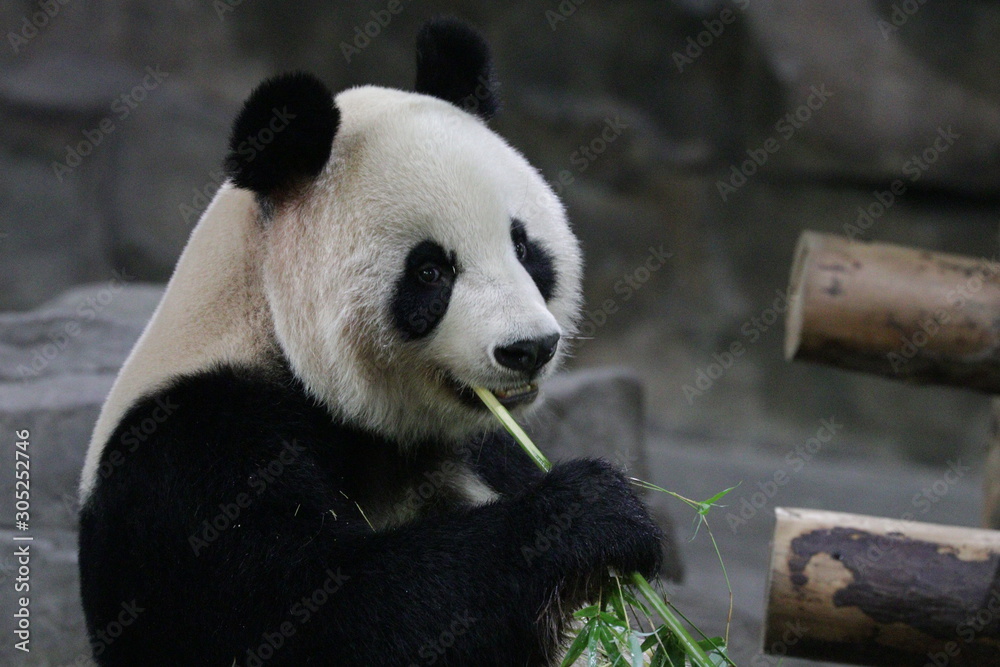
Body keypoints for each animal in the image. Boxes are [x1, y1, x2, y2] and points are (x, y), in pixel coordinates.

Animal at [78, 18, 663, 666]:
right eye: (430, 271)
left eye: (523, 247)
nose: (528, 348)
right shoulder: (194, 446)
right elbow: (323, 613)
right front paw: (594, 514)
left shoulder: (479, 446)